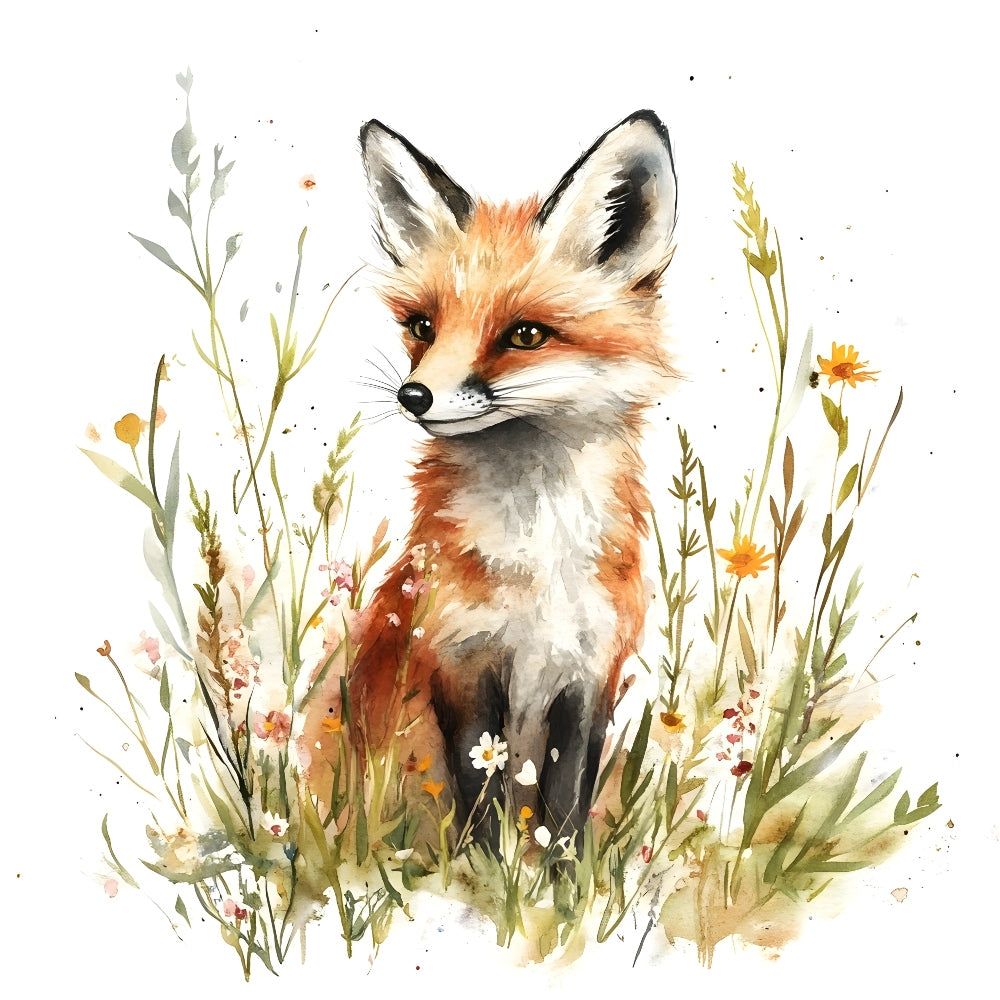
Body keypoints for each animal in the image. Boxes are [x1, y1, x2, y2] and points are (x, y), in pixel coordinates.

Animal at [346, 111, 678, 853]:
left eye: (525, 335)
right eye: (422, 327)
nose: (413, 396)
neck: (538, 551)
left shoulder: (589, 675)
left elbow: (563, 810)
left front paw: (559, 880)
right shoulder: (459, 664)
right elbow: (480, 801)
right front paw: (486, 875)